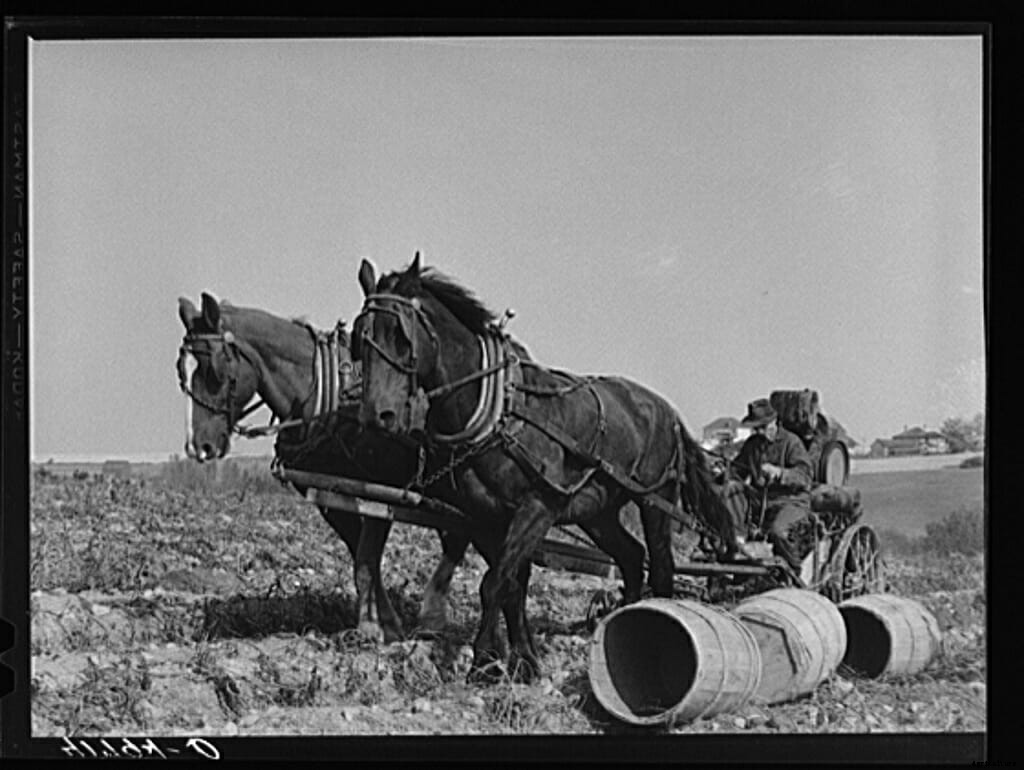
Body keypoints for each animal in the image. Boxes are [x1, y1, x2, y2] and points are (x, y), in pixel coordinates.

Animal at [176, 292, 471, 642]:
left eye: (215, 370)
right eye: (182, 371)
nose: (199, 447)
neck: (326, 400)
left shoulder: (381, 494)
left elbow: (366, 560)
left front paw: (373, 626)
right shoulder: (330, 496)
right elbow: (362, 556)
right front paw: (384, 620)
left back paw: (433, 615)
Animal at [352, 254, 734, 682]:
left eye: (402, 337)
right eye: (360, 338)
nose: (377, 415)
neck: (498, 412)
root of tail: (668, 411)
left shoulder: (537, 508)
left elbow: (495, 583)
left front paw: (483, 663)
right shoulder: (484, 517)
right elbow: (512, 585)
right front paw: (522, 661)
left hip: (655, 501)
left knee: (662, 568)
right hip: (598, 513)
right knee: (633, 558)